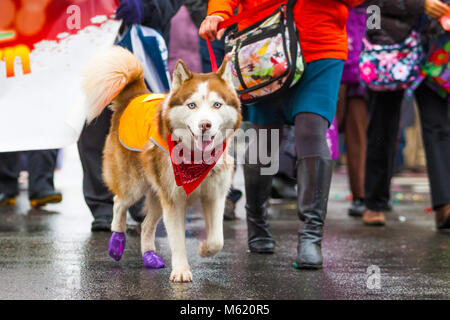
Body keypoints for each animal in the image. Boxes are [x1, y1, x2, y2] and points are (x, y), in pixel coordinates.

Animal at [82, 46, 241, 282]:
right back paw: (116, 244)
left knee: (147, 224)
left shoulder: (214, 194)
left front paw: (204, 249)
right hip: (136, 184)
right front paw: (181, 270)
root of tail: (135, 95)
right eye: (192, 105)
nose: (205, 125)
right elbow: (177, 240)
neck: (196, 160)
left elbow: (217, 240)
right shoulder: (173, 198)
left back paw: (149, 256)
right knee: (119, 202)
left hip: (157, 189)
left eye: (217, 105)